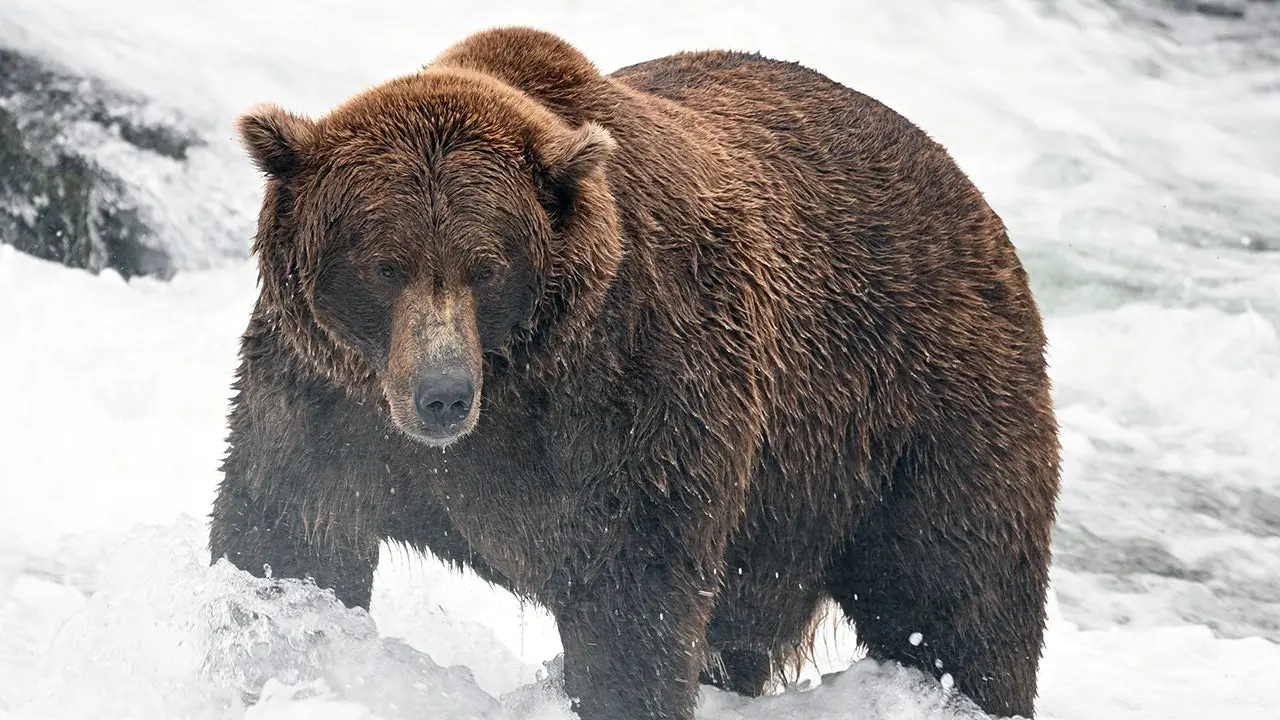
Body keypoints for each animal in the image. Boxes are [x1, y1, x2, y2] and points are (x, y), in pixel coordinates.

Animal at [210, 26, 1061, 720]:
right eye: (384, 264)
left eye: (486, 267)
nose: (442, 397)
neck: (516, 383)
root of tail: (969, 193)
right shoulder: (325, 399)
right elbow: (288, 535)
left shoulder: (632, 397)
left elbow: (630, 604)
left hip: (915, 417)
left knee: (958, 600)